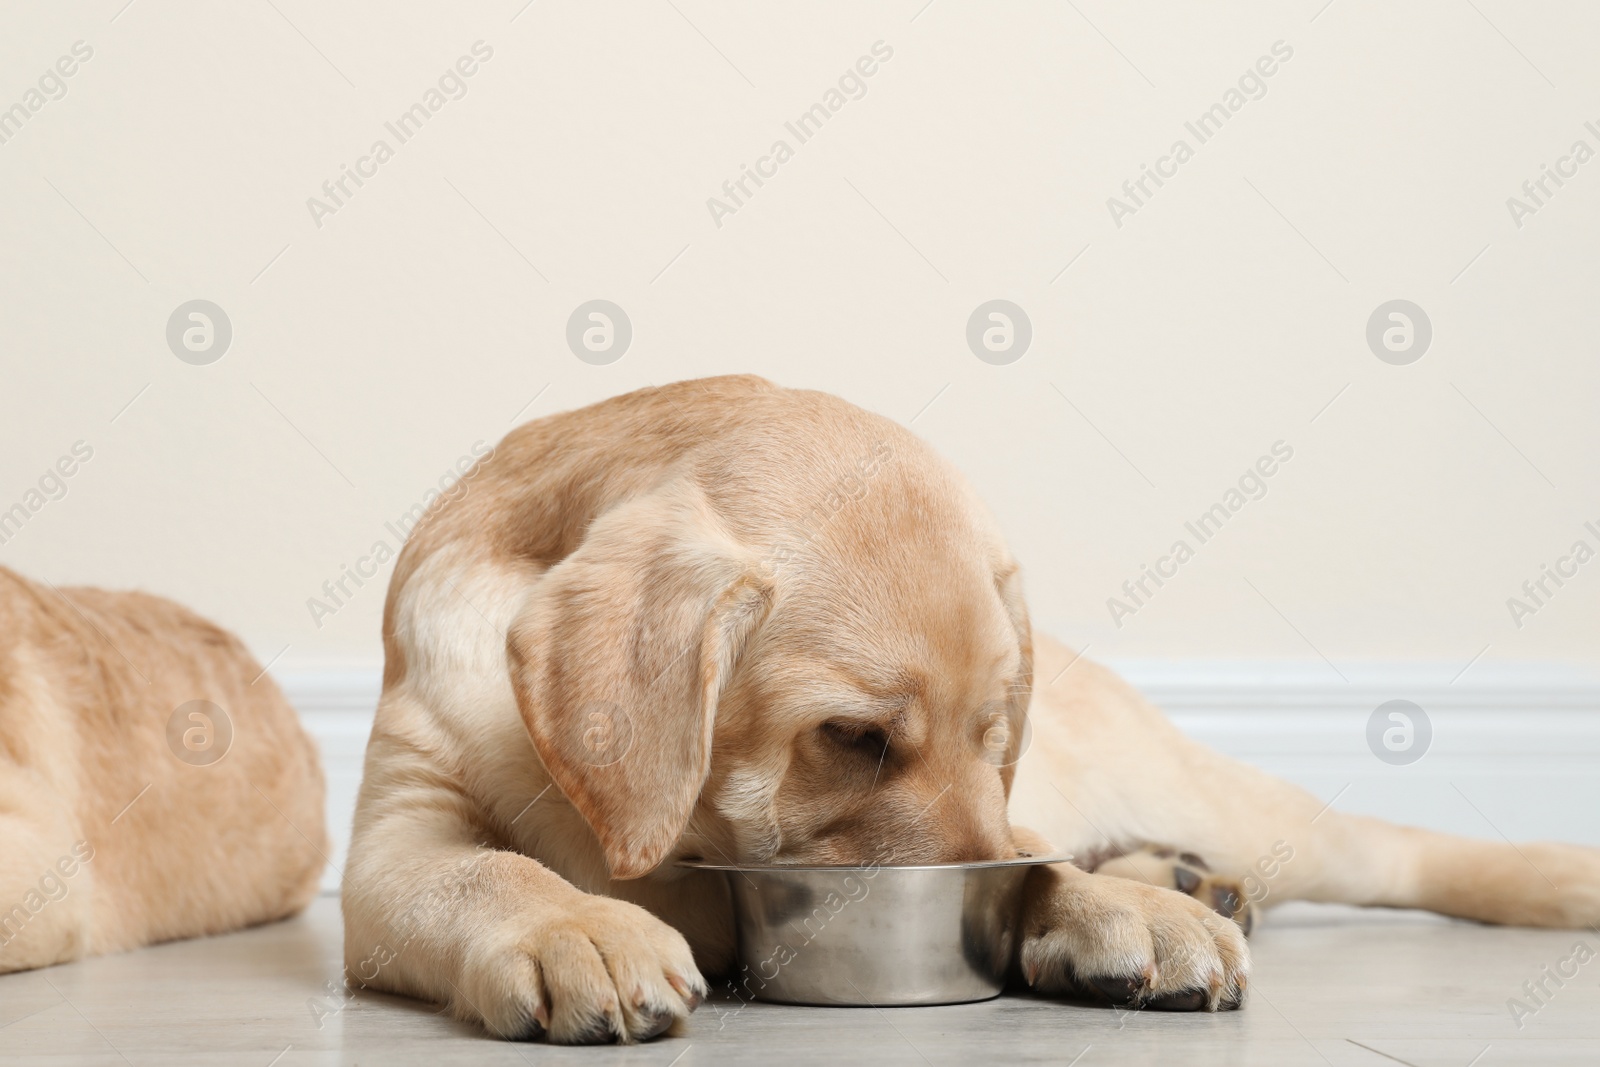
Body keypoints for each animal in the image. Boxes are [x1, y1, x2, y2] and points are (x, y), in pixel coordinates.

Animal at [347, 375, 1600, 1043]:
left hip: (1229, 796)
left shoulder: (1013, 809)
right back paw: (1178, 874)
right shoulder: (394, 843)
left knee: (1394, 849)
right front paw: (581, 926)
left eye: (999, 728)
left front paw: (1107, 908)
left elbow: (1033, 850)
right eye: (851, 736)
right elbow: (491, 870)